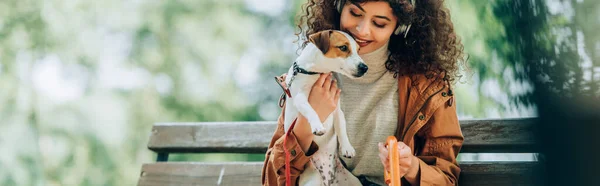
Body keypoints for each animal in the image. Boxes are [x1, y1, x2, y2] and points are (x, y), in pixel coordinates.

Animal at [278, 29, 368, 185]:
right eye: (343, 47)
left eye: (358, 50)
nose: (365, 67)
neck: (315, 72)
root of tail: (328, 180)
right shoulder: (300, 98)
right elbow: (311, 110)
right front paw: (317, 126)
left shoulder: (337, 107)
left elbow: (341, 126)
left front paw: (347, 148)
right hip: (311, 180)